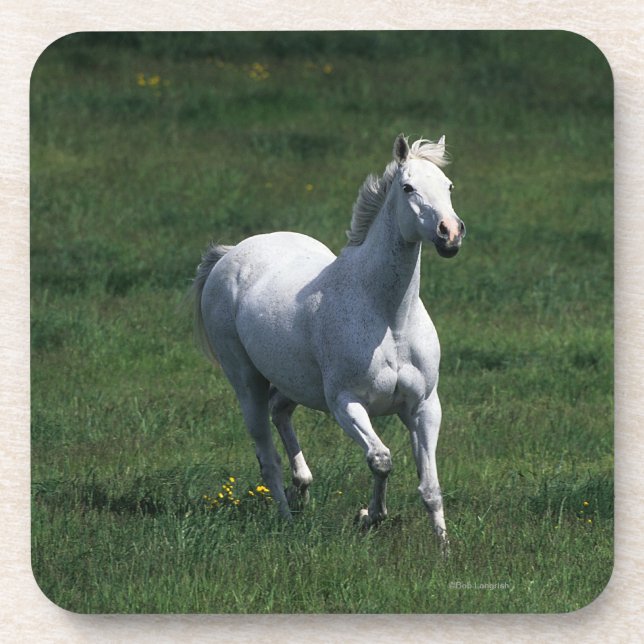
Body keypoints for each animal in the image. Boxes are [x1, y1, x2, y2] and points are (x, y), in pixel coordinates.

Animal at [192, 134, 465, 547]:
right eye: (408, 187)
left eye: (448, 186)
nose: (450, 233)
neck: (389, 319)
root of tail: (229, 253)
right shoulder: (345, 403)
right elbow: (381, 460)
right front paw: (370, 516)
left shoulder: (424, 407)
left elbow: (430, 487)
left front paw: (443, 546)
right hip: (246, 382)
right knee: (267, 456)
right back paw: (286, 516)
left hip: (295, 383)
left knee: (280, 411)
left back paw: (301, 489)